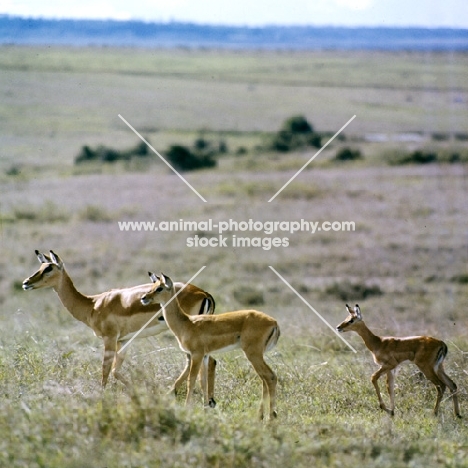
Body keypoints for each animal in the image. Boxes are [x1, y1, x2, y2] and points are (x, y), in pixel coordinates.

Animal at [22, 250, 217, 404]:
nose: (26, 282)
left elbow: (105, 370)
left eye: (49, 268)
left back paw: (174, 395)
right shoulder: (124, 340)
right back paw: (206, 400)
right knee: (208, 361)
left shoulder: (109, 338)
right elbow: (116, 371)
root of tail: (204, 293)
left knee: (194, 362)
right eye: (41, 266)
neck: (93, 304)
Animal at [139, 270, 278, 420]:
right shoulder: (205, 356)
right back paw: (262, 416)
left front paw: (187, 408)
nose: (143, 298)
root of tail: (274, 322)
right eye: (153, 286)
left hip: (253, 354)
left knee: (270, 377)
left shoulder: (196, 355)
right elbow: (204, 382)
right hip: (256, 356)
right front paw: (205, 409)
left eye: (160, 288)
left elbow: (191, 380)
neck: (186, 322)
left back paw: (270, 417)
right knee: (265, 379)